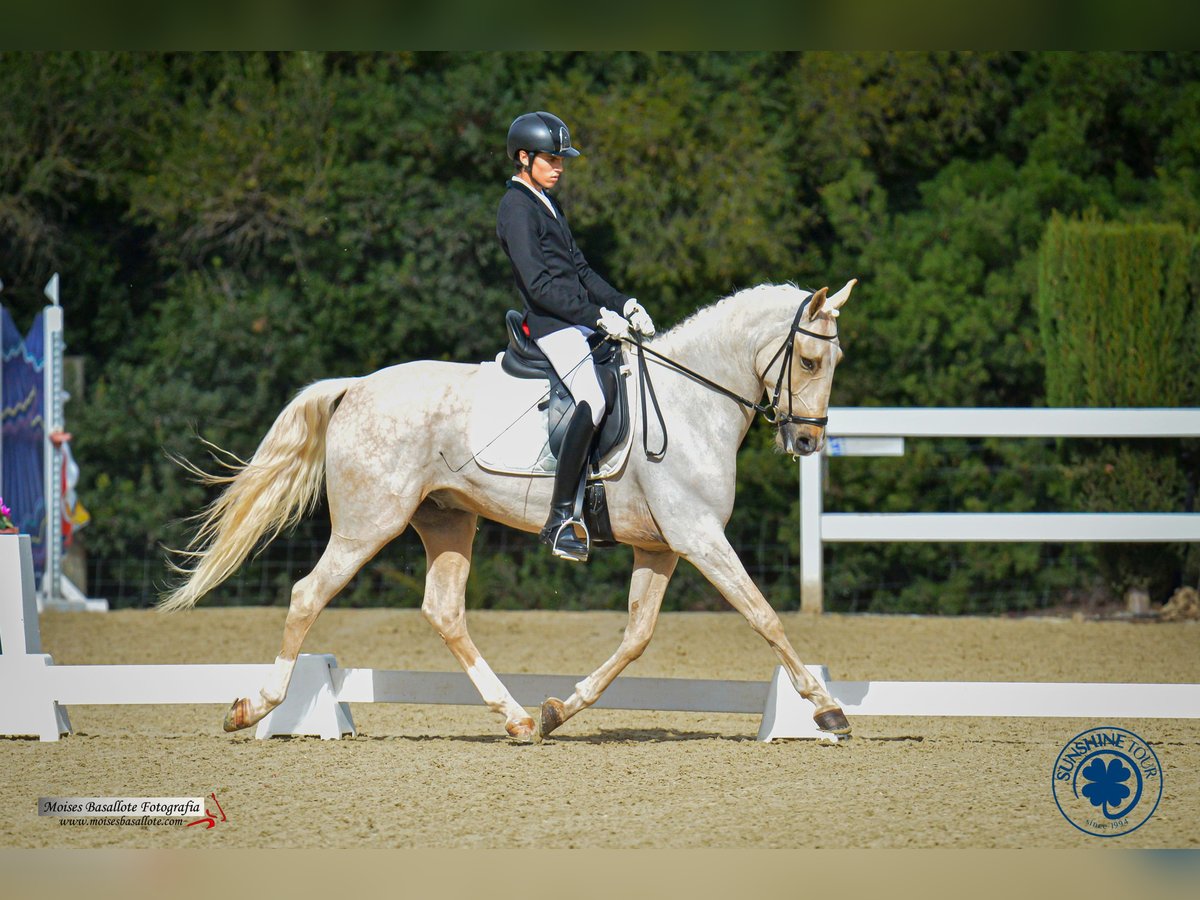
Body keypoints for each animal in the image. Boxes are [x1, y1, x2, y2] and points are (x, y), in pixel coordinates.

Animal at [162, 278, 854, 744]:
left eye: (836, 362)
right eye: (810, 360)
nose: (807, 442)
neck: (690, 403)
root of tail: (356, 386)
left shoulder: (660, 545)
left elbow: (636, 637)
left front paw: (558, 709)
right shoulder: (700, 536)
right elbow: (765, 616)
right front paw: (826, 709)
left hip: (447, 520)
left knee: (444, 610)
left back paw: (519, 718)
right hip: (369, 524)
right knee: (309, 594)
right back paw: (255, 707)